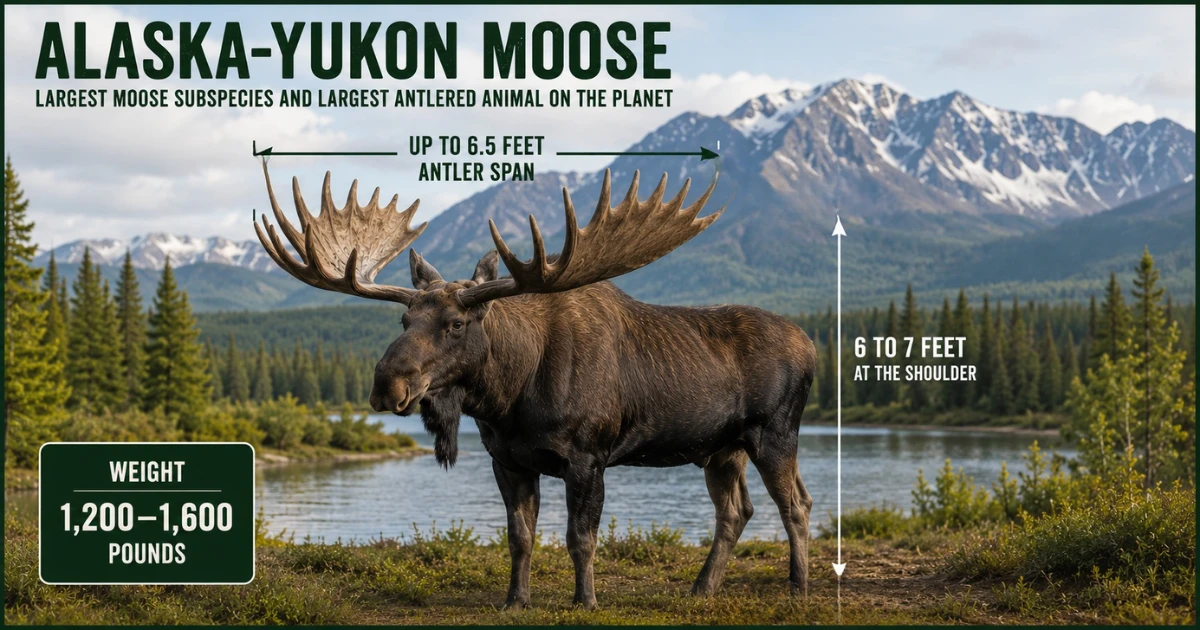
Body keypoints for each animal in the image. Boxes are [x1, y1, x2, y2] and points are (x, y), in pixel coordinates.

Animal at [253, 161, 818, 609]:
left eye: (456, 324)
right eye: (404, 320)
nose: (386, 386)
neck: (509, 396)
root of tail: (813, 346)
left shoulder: (588, 457)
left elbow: (579, 538)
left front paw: (585, 600)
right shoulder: (508, 460)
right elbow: (520, 537)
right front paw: (515, 599)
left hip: (774, 433)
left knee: (795, 504)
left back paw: (798, 586)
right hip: (722, 447)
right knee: (737, 511)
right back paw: (702, 588)